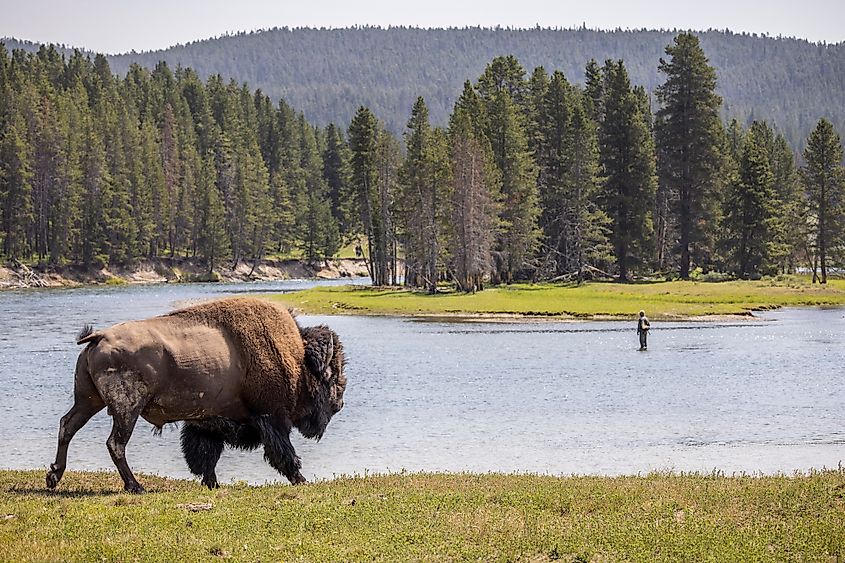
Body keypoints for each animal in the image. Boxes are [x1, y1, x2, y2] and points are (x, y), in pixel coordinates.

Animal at [42, 300, 346, 494]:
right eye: (331, 375)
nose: (339, 403)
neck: (297, 357)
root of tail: (99, 337)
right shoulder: (272, 419)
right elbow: (285, 454)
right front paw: (301, 479)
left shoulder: (207, 424)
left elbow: (204, 456)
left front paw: (211, 483)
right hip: (126, 409)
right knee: (115, 443)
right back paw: (135, 486)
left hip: (88, 400)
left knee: (67, 425)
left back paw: (54, 476)